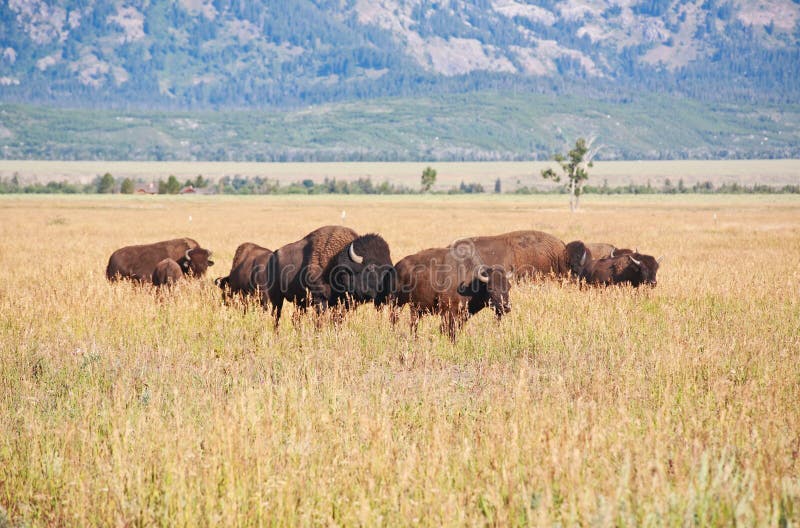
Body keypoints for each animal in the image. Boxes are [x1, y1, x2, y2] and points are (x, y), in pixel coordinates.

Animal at [266, 225, 394, 324]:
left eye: (390, 265)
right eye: (371, 267)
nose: (386, 292)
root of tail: (273, 256)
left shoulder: (343, 304)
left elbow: (337, 320)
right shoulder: (320, 299)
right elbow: (319, 321)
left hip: (300, 303)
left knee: (295, 318)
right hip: (277, 298)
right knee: (276, 317)